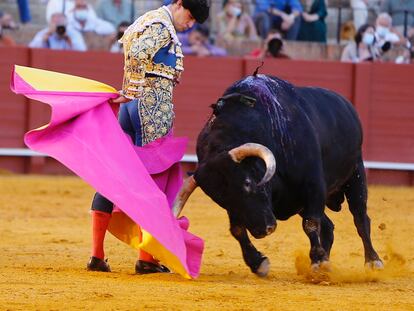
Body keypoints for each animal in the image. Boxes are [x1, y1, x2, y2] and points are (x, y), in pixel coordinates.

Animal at [173, 75, 384, 278]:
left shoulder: (314, 185)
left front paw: (317, 260)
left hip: (355, 173)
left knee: (360, 218)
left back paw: (373, 261)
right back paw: (326, 262)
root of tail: (346, 104)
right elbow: (237, 229)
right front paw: (258, 263)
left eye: (248, 183)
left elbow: (310, 224)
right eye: (221, 200)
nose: (263, 230)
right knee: (329, 226)